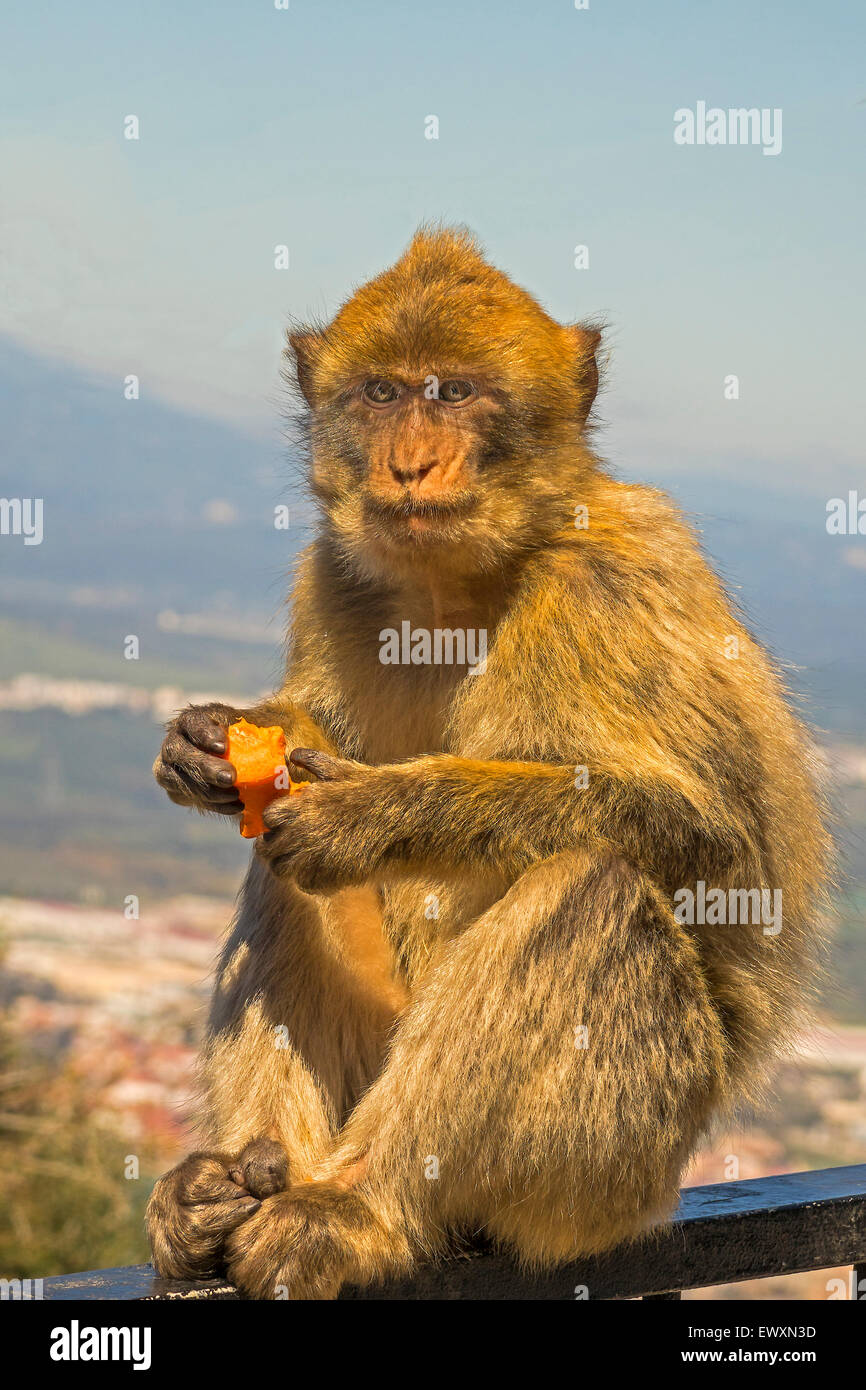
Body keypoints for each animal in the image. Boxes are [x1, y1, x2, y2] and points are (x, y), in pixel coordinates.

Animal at [145, 222, 828, 1295]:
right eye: (384, 394)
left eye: (457, 392)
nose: (412, 463)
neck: (451, 587)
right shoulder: (331, 574)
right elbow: (303, 743)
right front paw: (214, 739)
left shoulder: (620, 573)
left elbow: (711, 840)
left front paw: (372, 816)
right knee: (278, 872)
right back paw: (230, 1192)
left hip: (614, 1165)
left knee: (594, 889)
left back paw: (357, 1210)